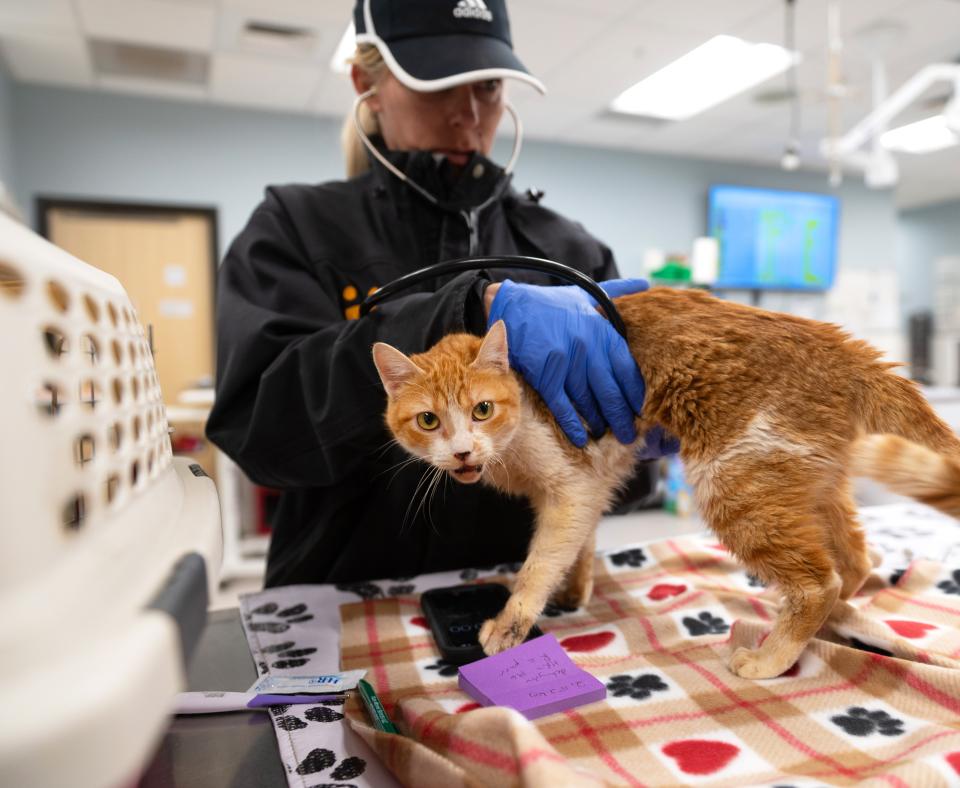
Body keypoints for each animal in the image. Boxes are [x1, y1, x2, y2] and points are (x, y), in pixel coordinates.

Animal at [374, 286, 960, 680]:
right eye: (429, 420)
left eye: (482, 409)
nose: (462, 451)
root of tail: (846, 349)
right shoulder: (593, 485)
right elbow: (578, 545)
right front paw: (576, 589)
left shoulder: (572, 486)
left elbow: (539, 563)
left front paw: (510, 623)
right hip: (805, 485)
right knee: (856, 561)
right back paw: (836, 620)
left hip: (734, 486)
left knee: (821, 581)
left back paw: (771, 657)